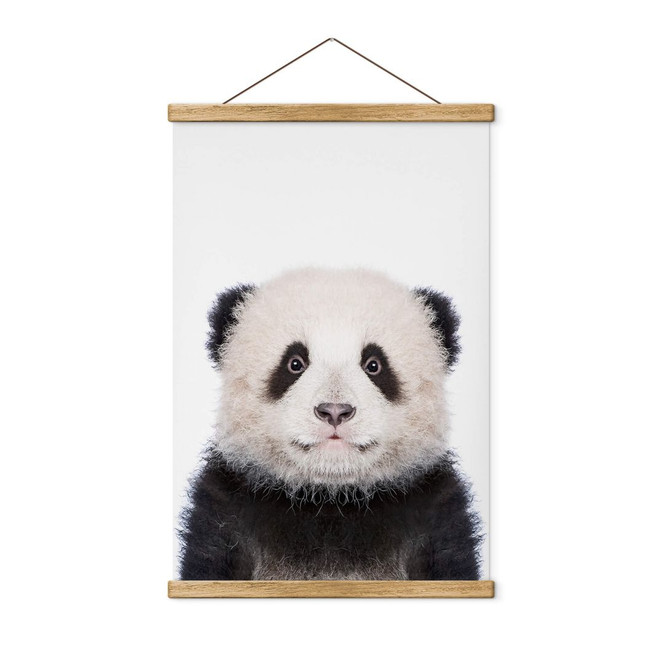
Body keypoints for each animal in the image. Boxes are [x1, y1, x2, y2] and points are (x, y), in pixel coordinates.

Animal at [178, 267, 482, 580]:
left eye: (374, 365)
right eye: (294, 363)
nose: (335, 411)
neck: (331, 499)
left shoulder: (434, 513)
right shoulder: (226, 511)